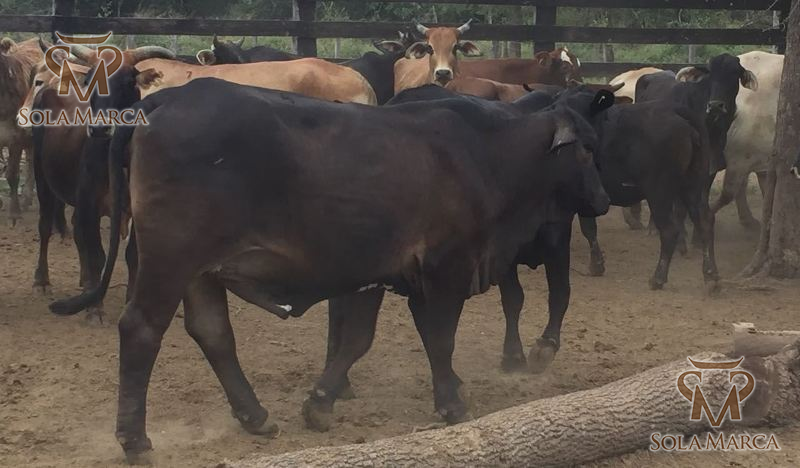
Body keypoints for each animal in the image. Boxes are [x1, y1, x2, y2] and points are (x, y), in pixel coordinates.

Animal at [48, 76, 608, 461]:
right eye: (584, 147)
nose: (603, 201)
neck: (485, 153)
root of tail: (167, 97)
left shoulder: (375, 272)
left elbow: (356, 340)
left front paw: (320, 402)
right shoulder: (442, 270)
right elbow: (440, 339)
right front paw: (451, 403)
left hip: (200, 271)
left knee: (213, 333)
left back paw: (254, 416)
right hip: (171, 258)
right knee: (141, 331)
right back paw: (135, 438)